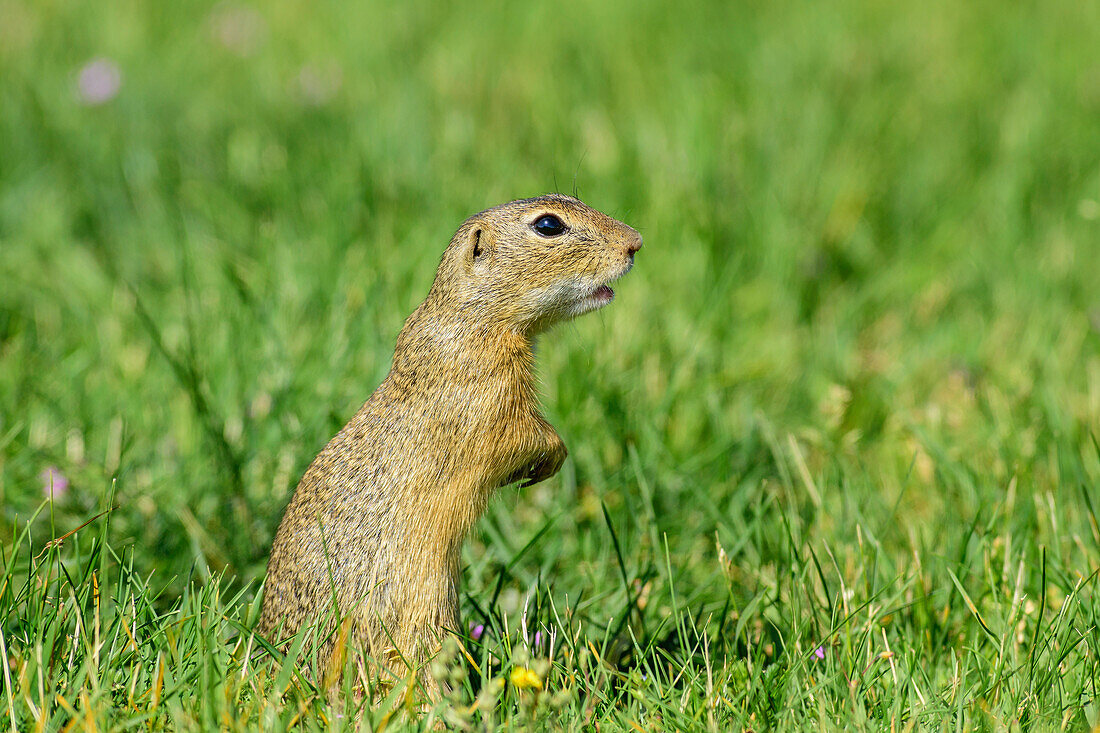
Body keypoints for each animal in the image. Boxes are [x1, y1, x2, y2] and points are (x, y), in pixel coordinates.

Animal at [257, 192, 642, 691]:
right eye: (548, 225)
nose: (635, 242)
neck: (469, 317)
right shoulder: (490, 401)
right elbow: (527, 436)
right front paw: (547, 462)